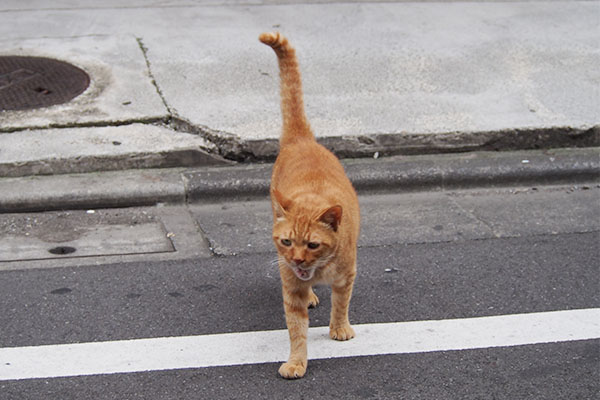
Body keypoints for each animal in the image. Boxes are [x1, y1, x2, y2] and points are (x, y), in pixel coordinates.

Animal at [258, 31, 360, 378]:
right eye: (287, 242)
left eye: (313, 245)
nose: (298, 260)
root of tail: (301, 139)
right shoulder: (291, 290)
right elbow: (297, 331)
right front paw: (296, 362)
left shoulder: (346, 276)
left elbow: (341, 304)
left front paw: (339, 328)